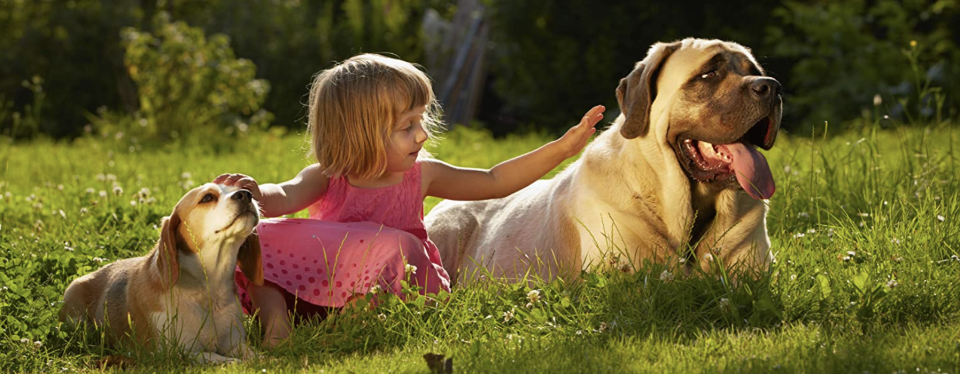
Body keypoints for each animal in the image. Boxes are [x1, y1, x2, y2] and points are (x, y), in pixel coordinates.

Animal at [60, 183, 264, 364]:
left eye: (244, 188)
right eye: (207, 197)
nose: (246, 194)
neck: (208, 289)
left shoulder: (235, 343)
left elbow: (257, 356)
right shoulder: (180, 351)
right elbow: (225, 360)